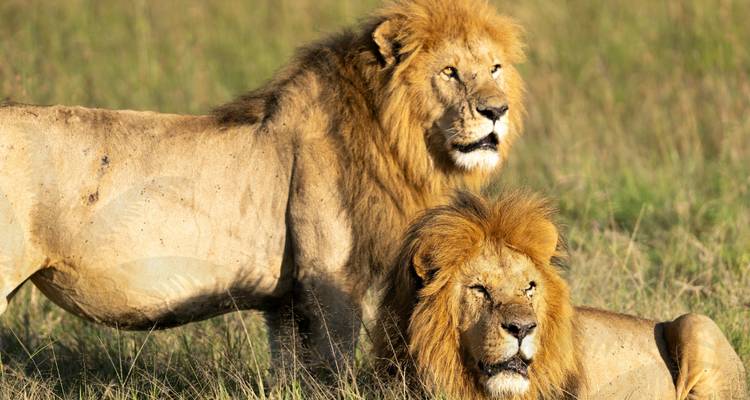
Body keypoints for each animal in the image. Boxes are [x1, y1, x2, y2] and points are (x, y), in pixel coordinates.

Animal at [0, 0, 525, 370]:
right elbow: (332, 368)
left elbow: (291, 370)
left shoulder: (286, 300)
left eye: (495, 68)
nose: (495, 110)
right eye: (449, 72)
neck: (393, 135)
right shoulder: (330, 280)